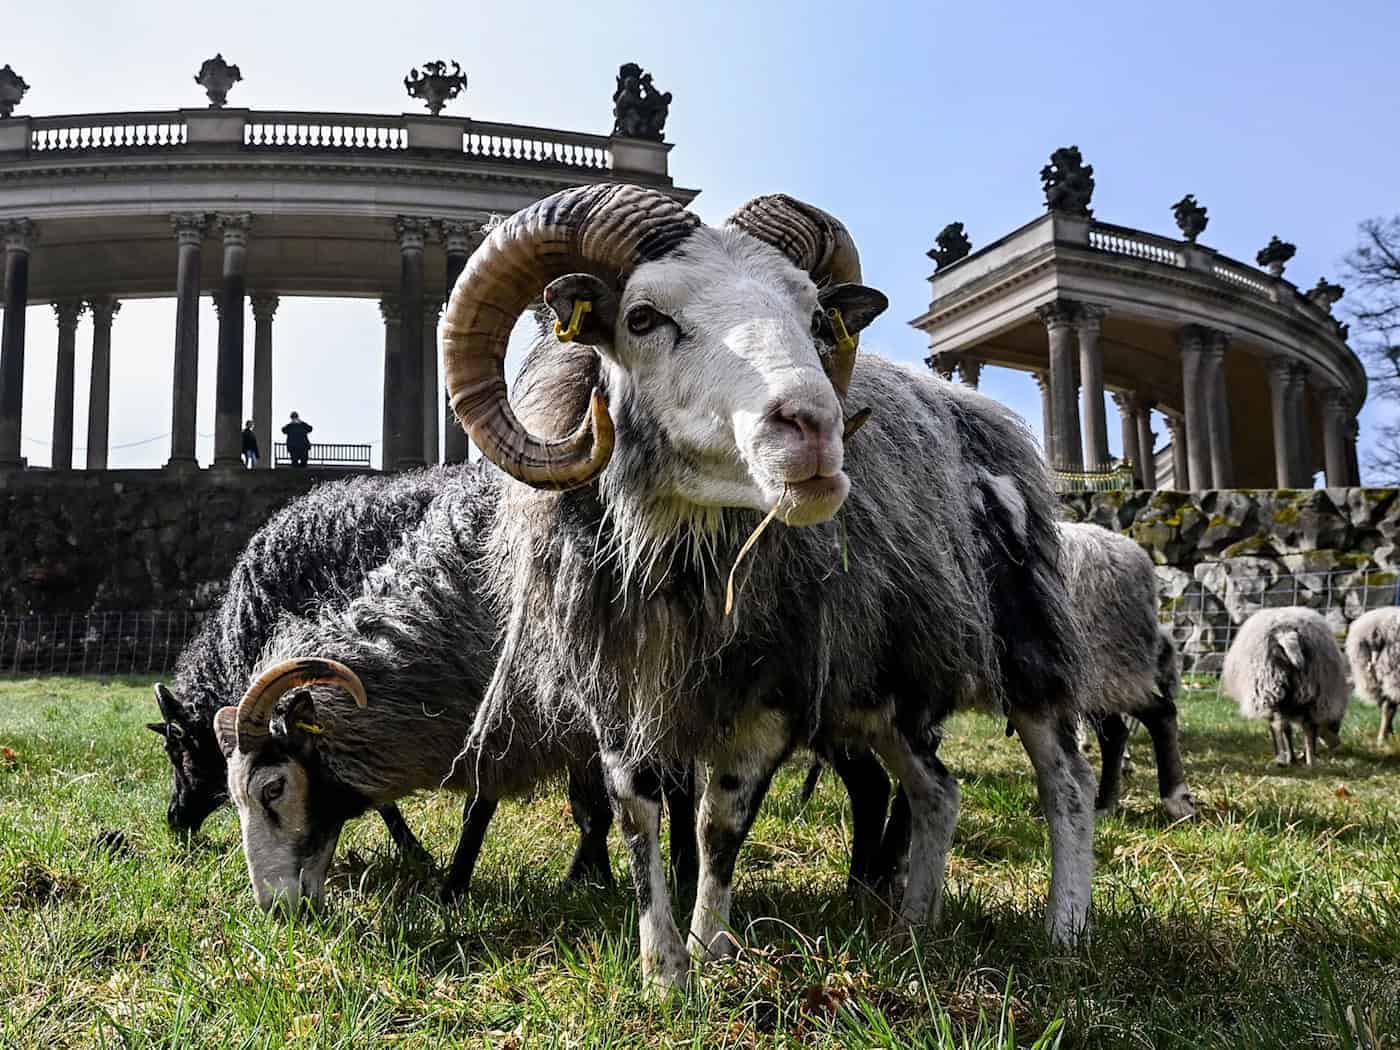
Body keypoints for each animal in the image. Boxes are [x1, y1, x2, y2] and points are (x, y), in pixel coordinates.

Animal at [435, 183, 1093, 993]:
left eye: (815, 319)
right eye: (642, 318)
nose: (815, 428)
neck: (685, 563)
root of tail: (985, 418)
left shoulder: (774, 685)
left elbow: (719, 825)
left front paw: (712, 951)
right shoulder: (616, 687)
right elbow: (637, 818)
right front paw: (662, 973)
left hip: (1025, 640)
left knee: (1065, 781)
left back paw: (1065, 930)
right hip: (885, 680)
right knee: (936, 789)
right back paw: (915, 925)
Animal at [1221, 607, 1349, 765]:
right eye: (1336, 724)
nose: (1336, 744)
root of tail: (1286, 632)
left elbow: (1278, 728)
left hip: (1269, 687)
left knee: (1280, 725)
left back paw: (1283, 758)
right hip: (1316, 691)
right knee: (1308, 726)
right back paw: (1309, 760)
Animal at [1345, 607, 1400, 745]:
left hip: (1371, 675)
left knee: (1385, 706)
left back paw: (1386, 738)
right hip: (1393, 672)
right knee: (1389, 707)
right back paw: (1385, 738)